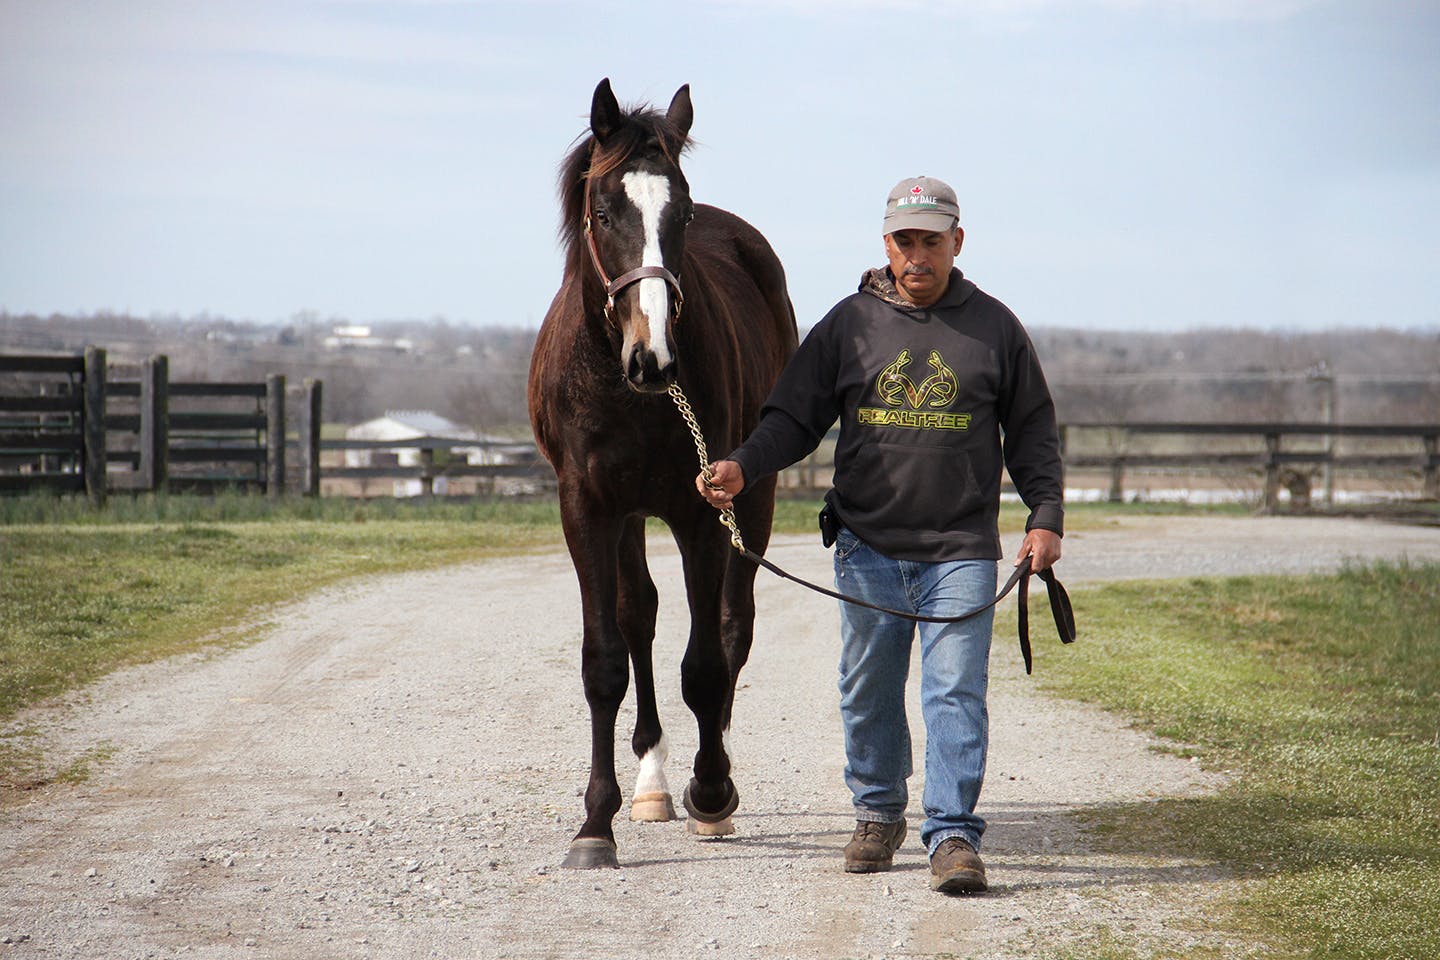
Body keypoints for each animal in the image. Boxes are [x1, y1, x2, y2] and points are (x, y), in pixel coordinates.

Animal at [529, 78, 800, 869]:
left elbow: (706, 664)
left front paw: (711, 792)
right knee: (639, 617)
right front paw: (596, 822)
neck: (629, 393)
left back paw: (717, 781)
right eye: (602, 211)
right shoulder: (588, 508)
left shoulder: (702, 507)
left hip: (754, 498)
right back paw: (650, 781)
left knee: (733, 627)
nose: (654, 357)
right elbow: (605, 657)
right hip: (629, 516)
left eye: (680, 212)